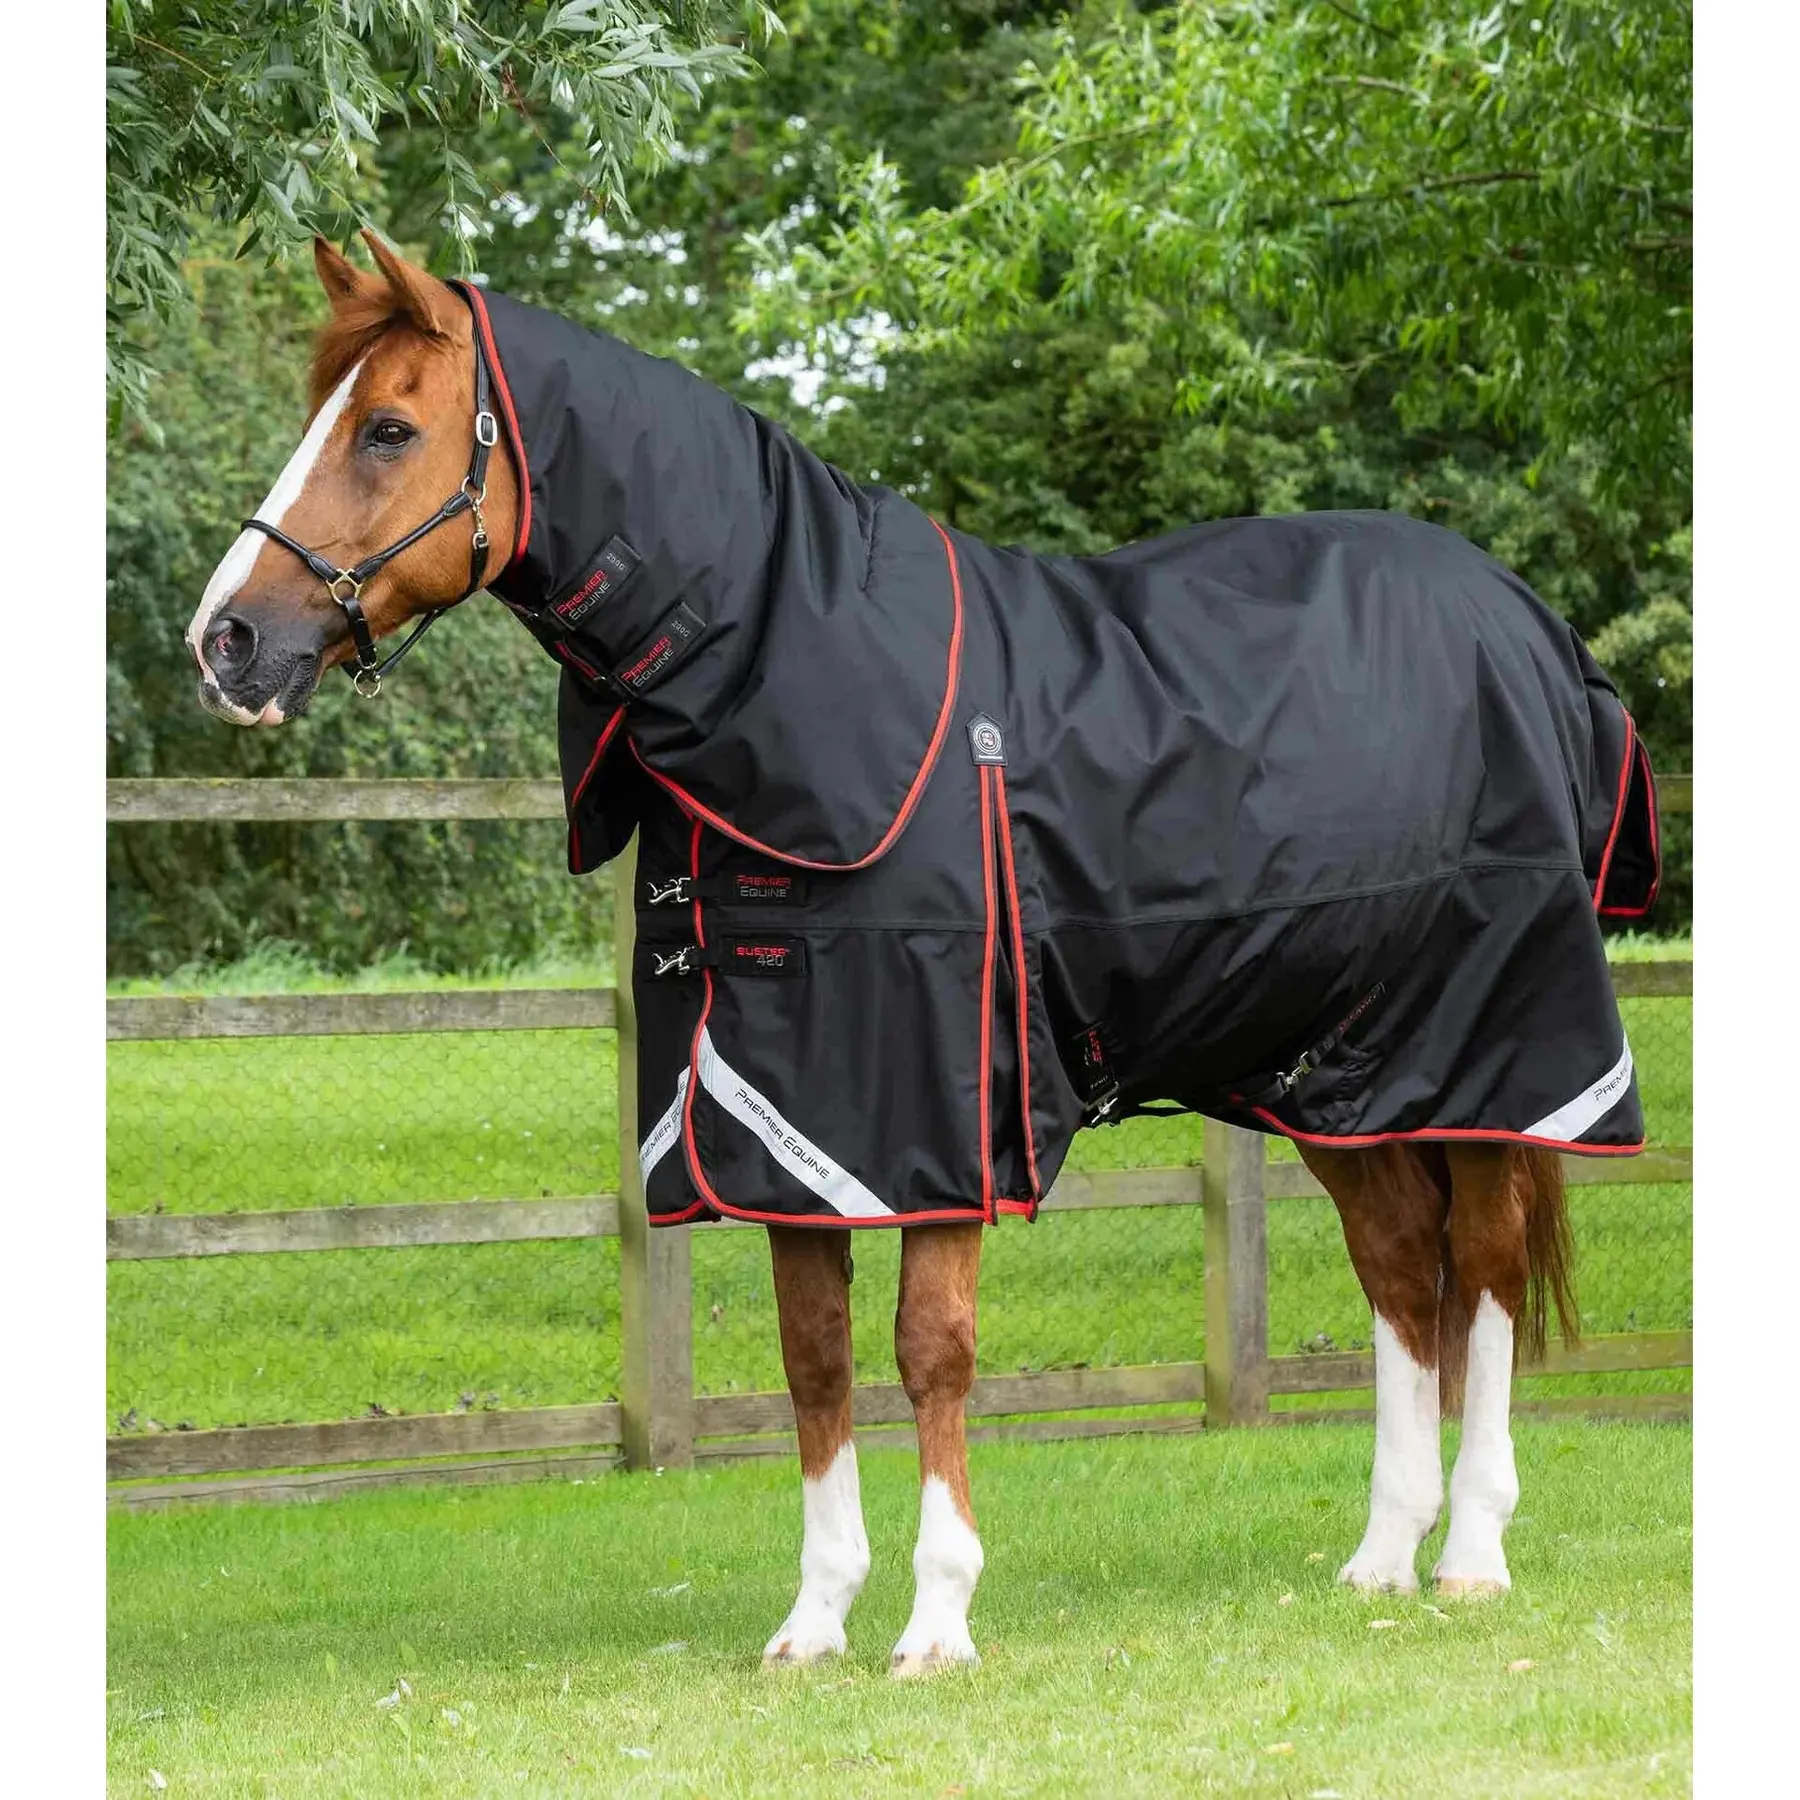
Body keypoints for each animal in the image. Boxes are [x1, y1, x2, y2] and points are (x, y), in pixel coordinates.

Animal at [186, 231, 1657, 1675]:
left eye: (386, 429)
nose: (227, 641)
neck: (795, 674)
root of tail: (1527, 626)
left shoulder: (934, 1116)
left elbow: (930, 1352)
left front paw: (938, 1621)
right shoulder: (779, 1130)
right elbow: (816, 1358)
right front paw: (814, 1622)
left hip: (1495, 1056)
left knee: (1485, 1273)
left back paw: (1471, 1556)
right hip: (1335, 1075)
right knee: (1402, 1268)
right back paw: (1381, 1559)